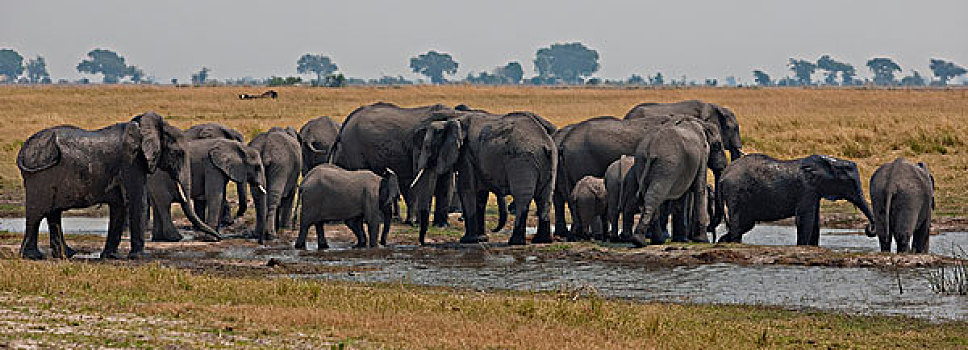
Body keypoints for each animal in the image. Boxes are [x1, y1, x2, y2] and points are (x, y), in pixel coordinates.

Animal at [17, 112, 217, 260]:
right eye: (178, 153)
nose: (217, 237)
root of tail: (24, 147)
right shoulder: (131, 160)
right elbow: (137, 201)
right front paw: (140, 257)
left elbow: (120, 206)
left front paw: (111, 256)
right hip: (39, 175)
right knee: (36, 213)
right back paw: (32, 256)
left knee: (53, 213)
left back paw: (66, 255)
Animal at [328, 101, 458, 227]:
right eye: (426, 145)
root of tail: (346, 123)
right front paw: (415, 223)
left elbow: (445, 181)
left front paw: (441, 225)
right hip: (354, 148)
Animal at [410, 110, 560, 245]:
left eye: (427, 147)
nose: (424, 243)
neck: (450, 121)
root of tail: (545, 144)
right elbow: (481, 195)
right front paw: (481, 239)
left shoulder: (466, 154)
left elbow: (467, 190)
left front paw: (467, 240)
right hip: (550, 160)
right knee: (544, 198)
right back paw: (541, 240)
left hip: (522, 161)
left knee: (522, 198)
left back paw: (515, 242)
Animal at [620, 117, 720, 246]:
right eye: (717, 146)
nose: (713, 239)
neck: (702, 123)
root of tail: (651, 148)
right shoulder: (703, 154)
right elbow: (699, 189)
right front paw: (702, 241)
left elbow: (681, 197)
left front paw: (681, 240)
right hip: (667, 165)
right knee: (655, 195)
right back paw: (644, 241)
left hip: (642, 161)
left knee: (651, 195)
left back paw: (653, 240)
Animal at [716, 153, 872, 246]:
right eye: (850, 182)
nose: (868, 228)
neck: (828, 162)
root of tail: (723, 176)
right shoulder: (806, 189)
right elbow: (806, 220)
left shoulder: (814, 191)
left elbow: (815, 222)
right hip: (735, 191)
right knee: (738, 224)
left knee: (745, 225)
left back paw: (722, 242)